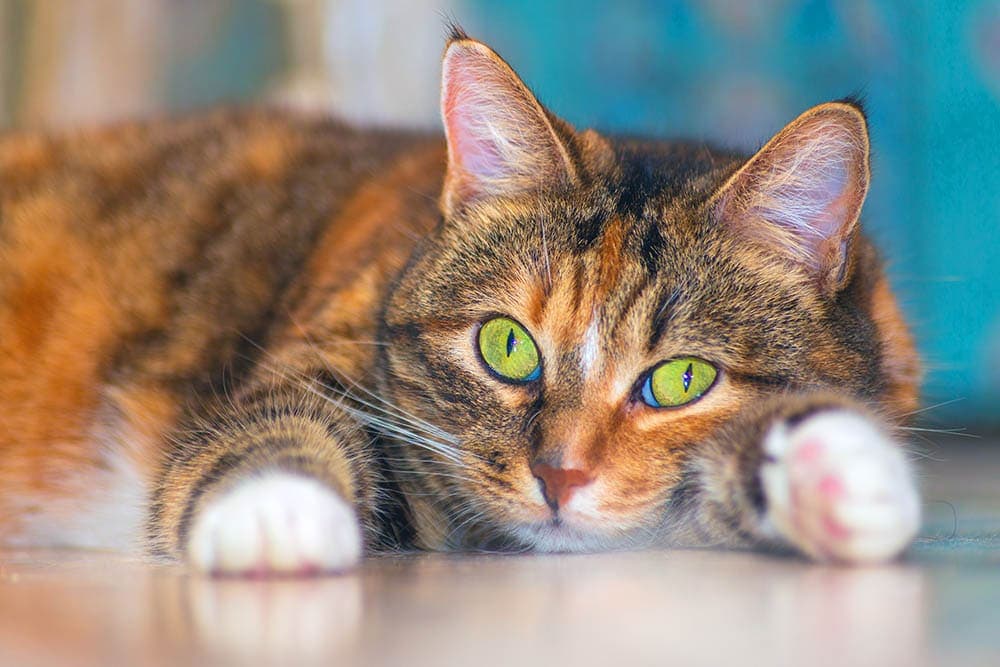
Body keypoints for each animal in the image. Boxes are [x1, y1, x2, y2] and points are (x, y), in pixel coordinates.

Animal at [0, 30, 920, 576]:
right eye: (506, 346)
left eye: (681, 379)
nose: (559, 475)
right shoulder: (320, 357)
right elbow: (272, 420)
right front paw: (278, 512)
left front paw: (829, 465)